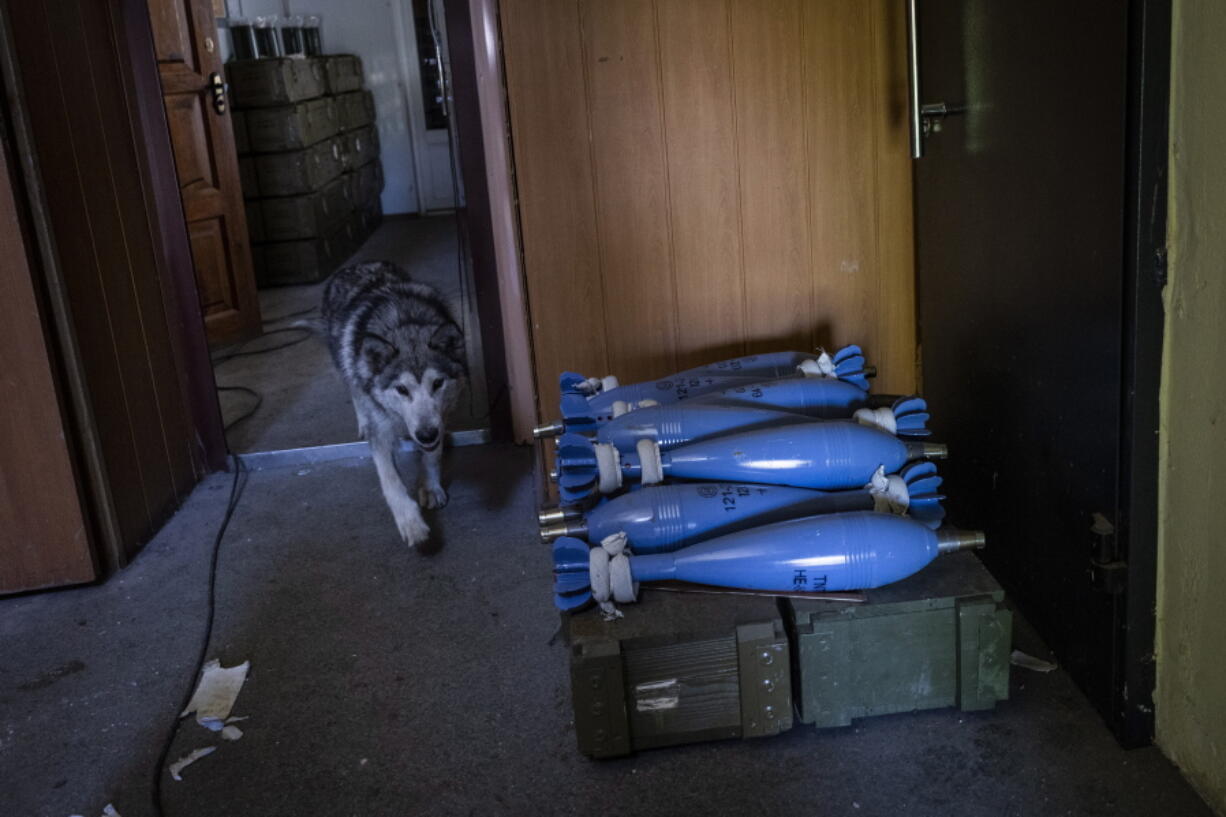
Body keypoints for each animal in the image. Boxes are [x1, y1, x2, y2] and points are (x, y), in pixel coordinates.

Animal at [321, 257, 463, 544]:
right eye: (401, 389)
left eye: (437, 384)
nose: (426, 434)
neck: (403, 322)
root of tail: (355, 264)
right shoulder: (382, 432)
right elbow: (390, 480)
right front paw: (411, 523)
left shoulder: (437, 417)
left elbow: (432, 455)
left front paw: (430, 486)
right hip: (345, 367)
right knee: (355, 391)